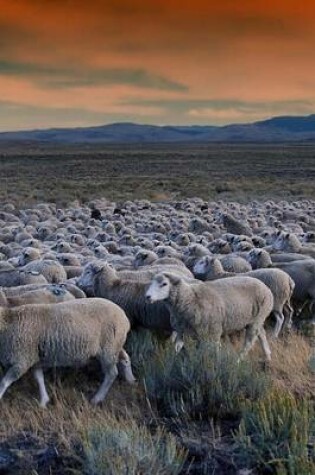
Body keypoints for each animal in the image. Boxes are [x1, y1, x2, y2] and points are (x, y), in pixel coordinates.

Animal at [0, 300, 135, 408]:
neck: (8, 322)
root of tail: (125, 318)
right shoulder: (34, 359)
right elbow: (39, 379)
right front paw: (44, 401)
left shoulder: (22, 360)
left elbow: (4, 382)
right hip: (115, 345)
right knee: (125, 358)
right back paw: (131, 379)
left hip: (108, 349)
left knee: (112, 373)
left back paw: (97, 398)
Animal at [146, 272, 274, 360]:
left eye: (164, 284)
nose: (147, 296)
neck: (191, 298)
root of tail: (265, 287)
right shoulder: (183, 331)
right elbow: (177, 348)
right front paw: (175, 360)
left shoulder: (213, 331)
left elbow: (214, 351)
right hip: (256, 319)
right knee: (262, 334)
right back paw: (267, 356)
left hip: (257, 319)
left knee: (249, 342)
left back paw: (238, 360)